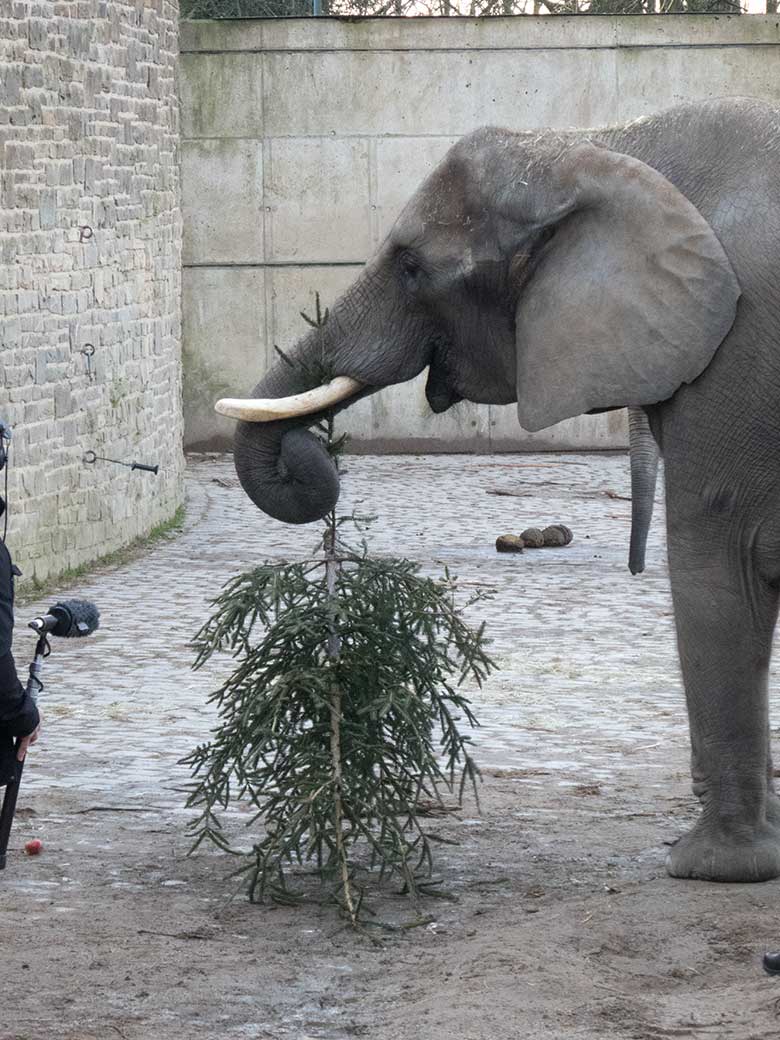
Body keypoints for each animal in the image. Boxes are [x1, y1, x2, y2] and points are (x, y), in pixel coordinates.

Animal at [217, 97, 780, 881]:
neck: (606, 144)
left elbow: (720, 565)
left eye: (412, 266)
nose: (315, 453)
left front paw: (711, 867)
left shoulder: (737, 354)